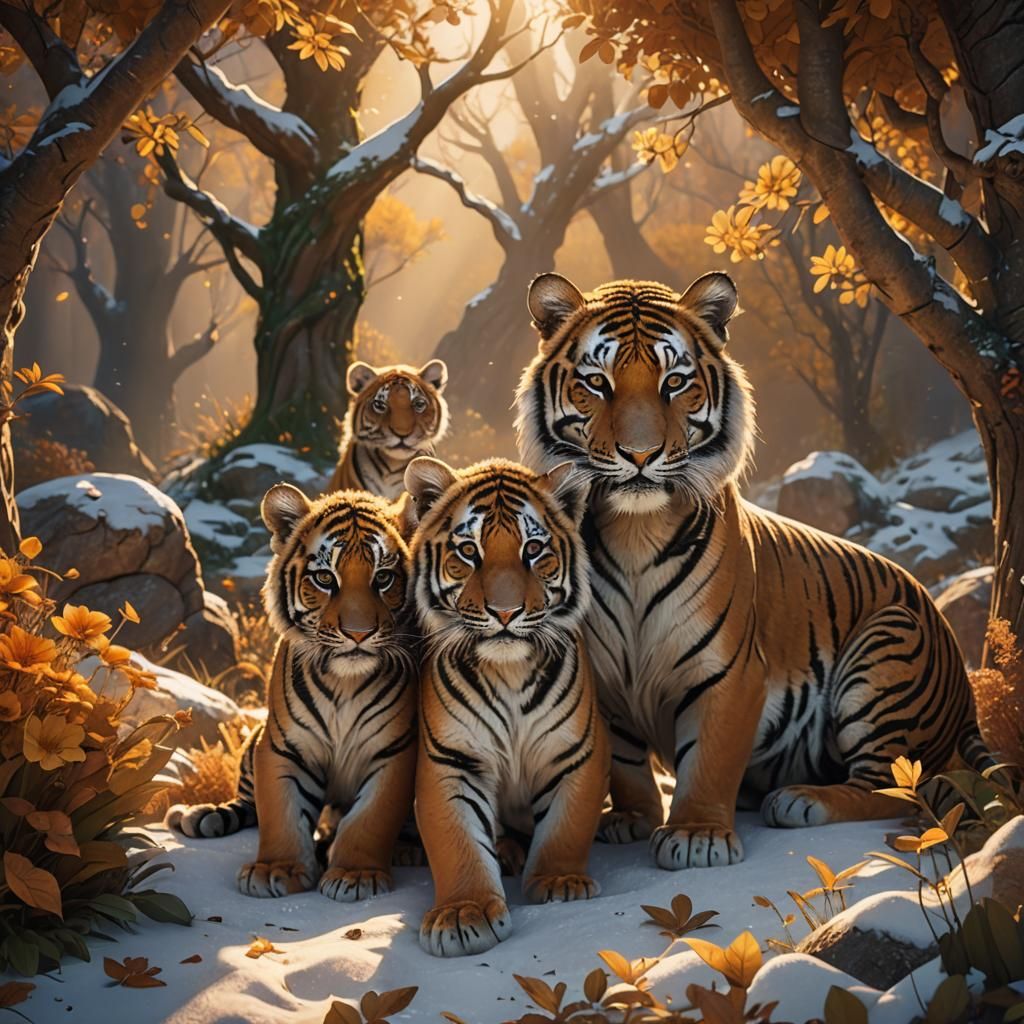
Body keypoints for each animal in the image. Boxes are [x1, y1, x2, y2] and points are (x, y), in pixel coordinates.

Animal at [166, 484, 417, 901]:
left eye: (383, 577)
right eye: (325, 578)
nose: (358, 634)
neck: (344, 683)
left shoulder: (394, 752)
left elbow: (369, 819)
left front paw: (355, 874)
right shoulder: (283, 746)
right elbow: (279, 812)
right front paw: (276, 869)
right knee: (247, 803)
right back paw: (205, 816)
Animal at [404, 456, 609, 957]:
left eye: (533, 550)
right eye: (468, 551)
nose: (504, 612)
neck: (509, 673)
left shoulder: (576, 753)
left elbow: (568, 824)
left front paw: (560, 882)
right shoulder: (452, 761)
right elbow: (456, 842)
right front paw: (463, 914)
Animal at [514, 271, 989, 871]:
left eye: (674, 382)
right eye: (597, 383)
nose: (640, 455)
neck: (634, 530)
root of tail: (969, 700)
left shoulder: (730, 671)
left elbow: (711, 757)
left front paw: (696, 835)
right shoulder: (600, 678)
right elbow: (623, 763)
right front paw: (631, 819)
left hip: (887, 648)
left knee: (898, 786)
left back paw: (801, 799)